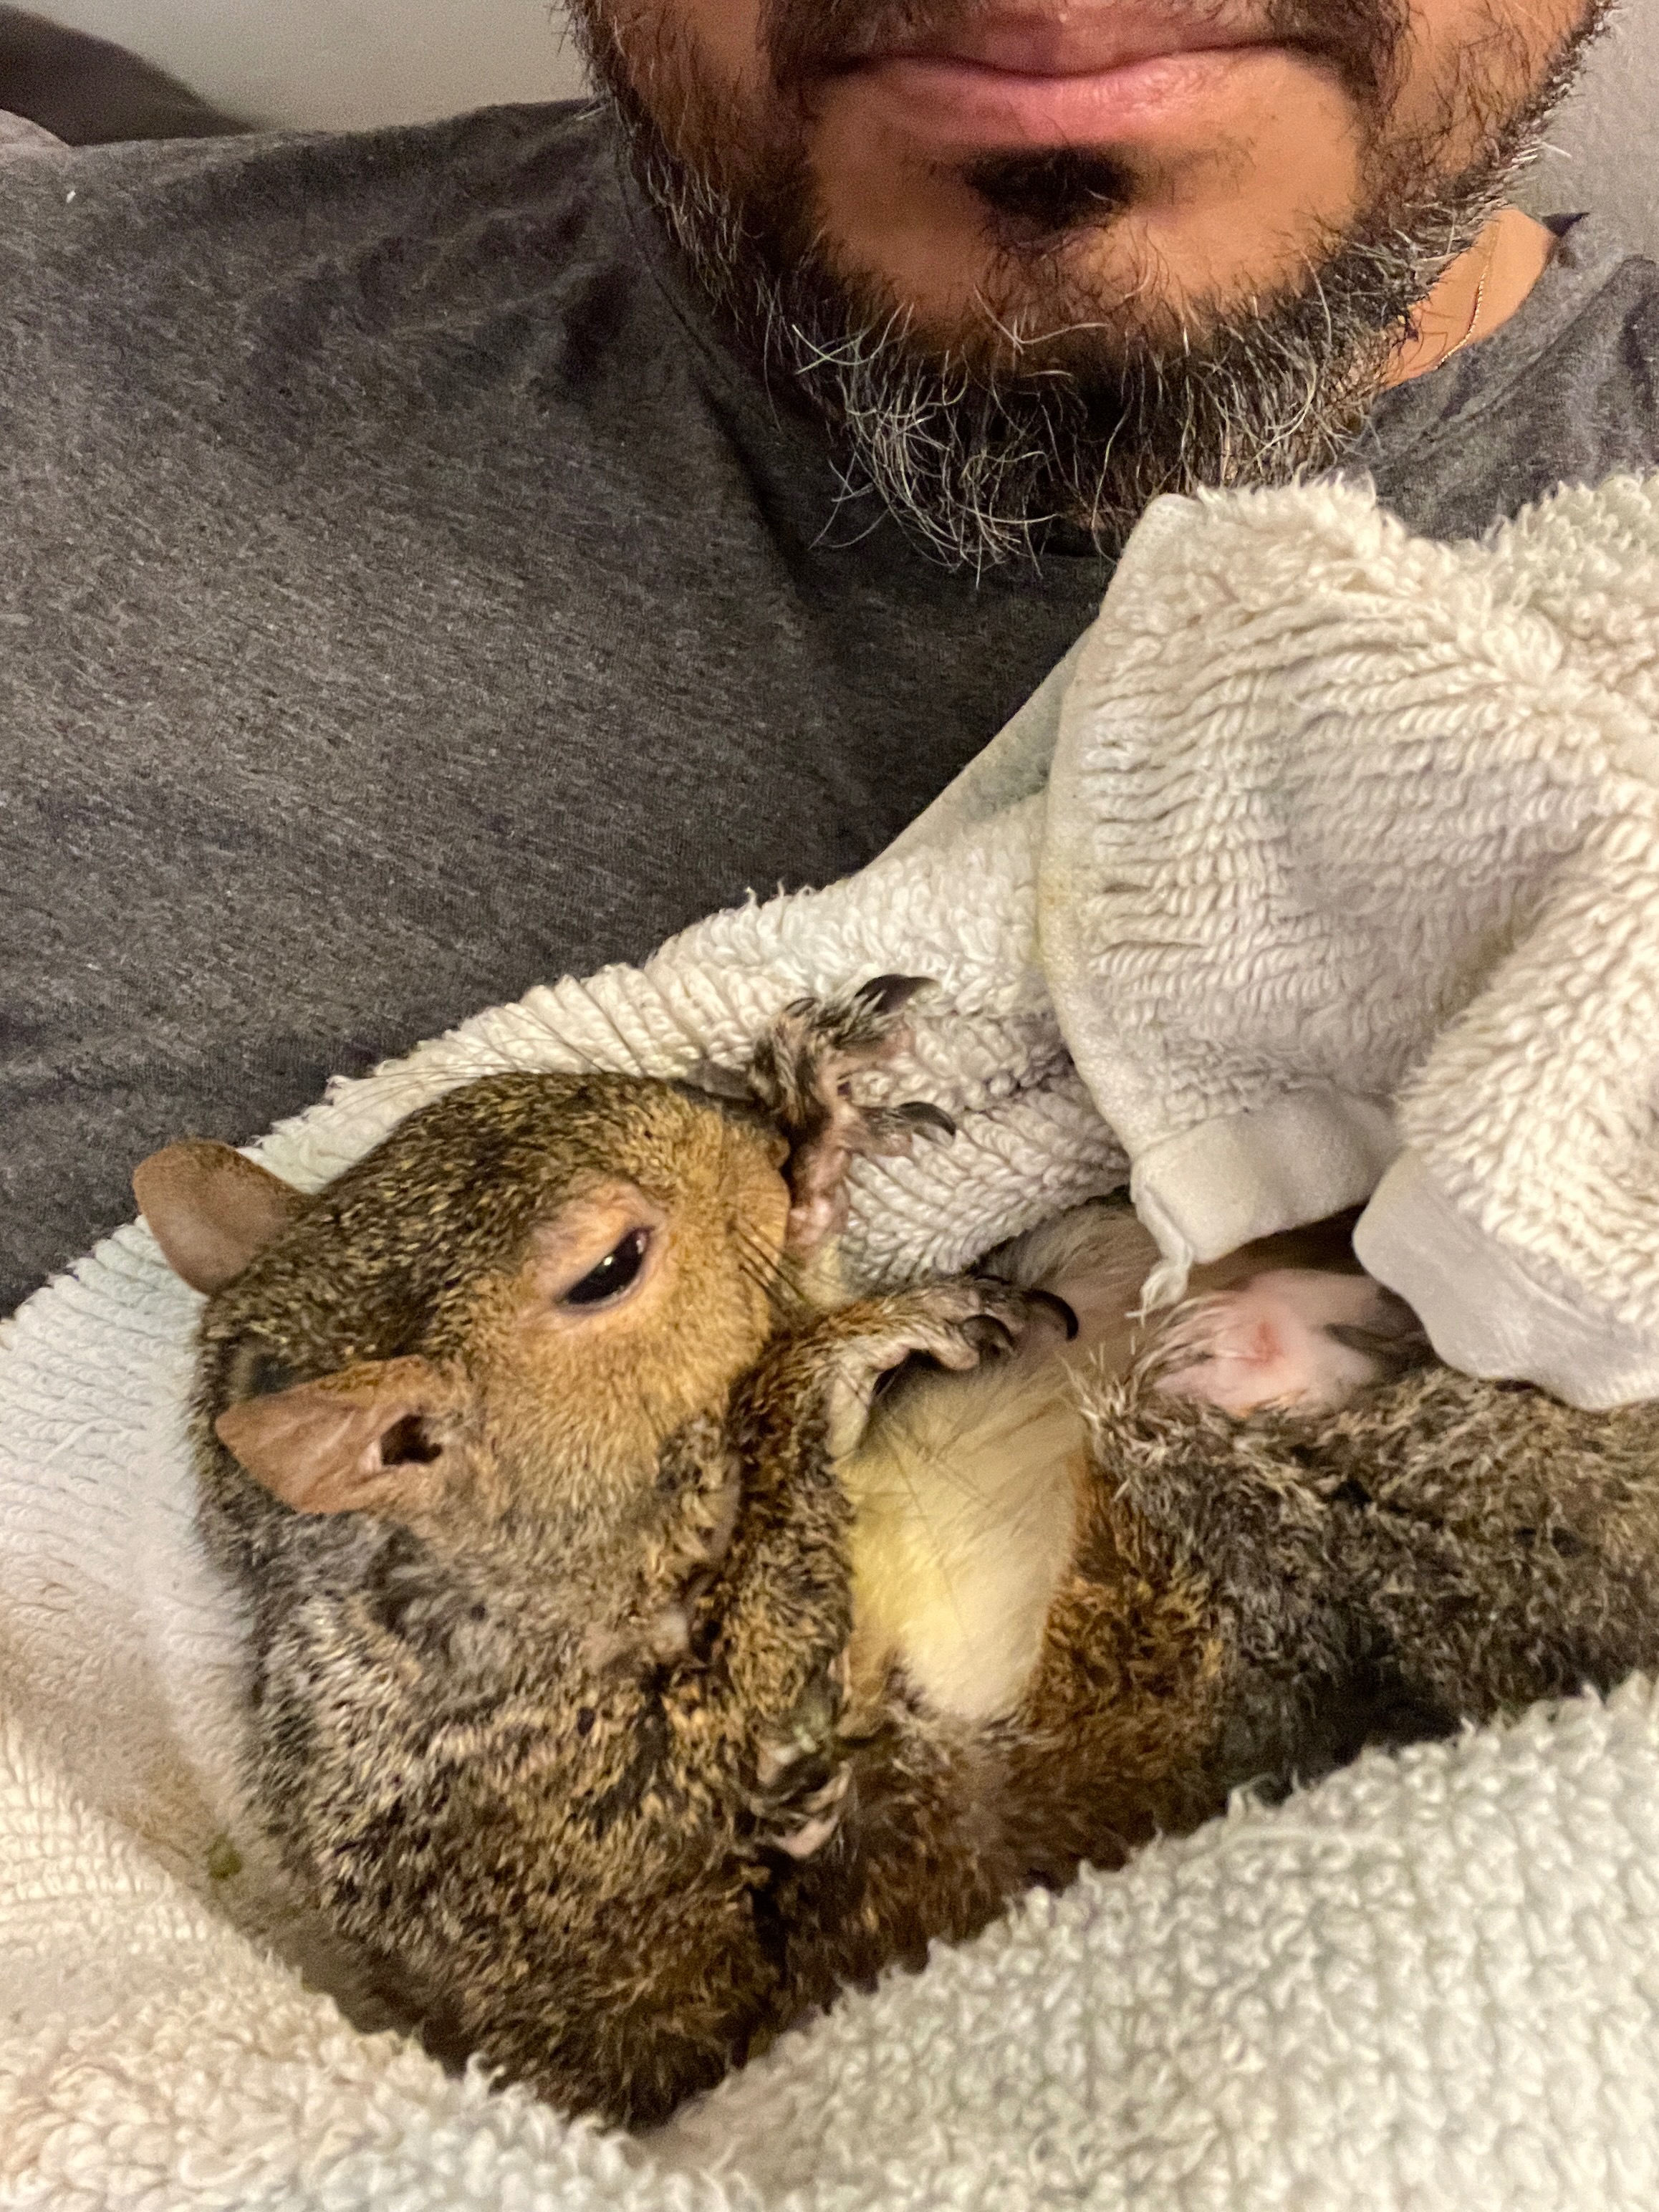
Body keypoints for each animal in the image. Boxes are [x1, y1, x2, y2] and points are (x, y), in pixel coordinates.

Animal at [134, 978, 1659, 2129]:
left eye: (475, 1103)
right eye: (610, 1266)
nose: (739, 1131)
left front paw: (818, 1146)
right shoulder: (538, 1816)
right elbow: (726, 1756)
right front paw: (825, 1362)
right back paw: (1266, 1346)